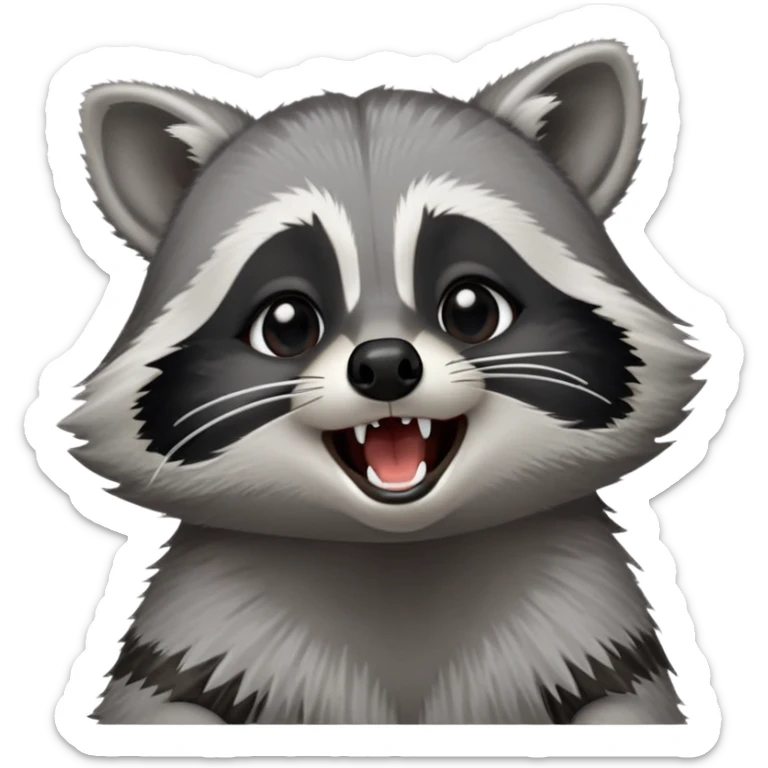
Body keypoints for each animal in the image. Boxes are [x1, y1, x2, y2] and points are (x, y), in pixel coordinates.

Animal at [60, 41, 708, 725]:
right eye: (287, 324)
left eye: (472, 308)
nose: (387, 365)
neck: (396, 548)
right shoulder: (194, 642)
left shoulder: (594, 637)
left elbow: (620, 704)